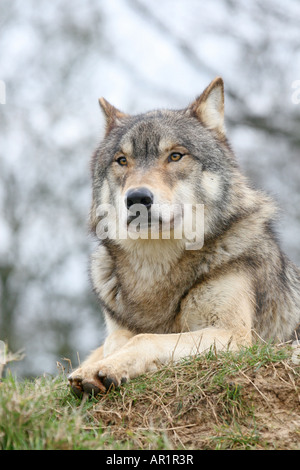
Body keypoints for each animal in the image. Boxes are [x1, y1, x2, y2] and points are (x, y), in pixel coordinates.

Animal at [68, 77, 300, 396]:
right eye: (122, 161)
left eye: (175, 156)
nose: (137, 198)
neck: (155, 266)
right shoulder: (116, 329)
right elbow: (117, 340)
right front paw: (99, 364)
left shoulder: (234, 335)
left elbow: (146, 338)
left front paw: (109, 367)